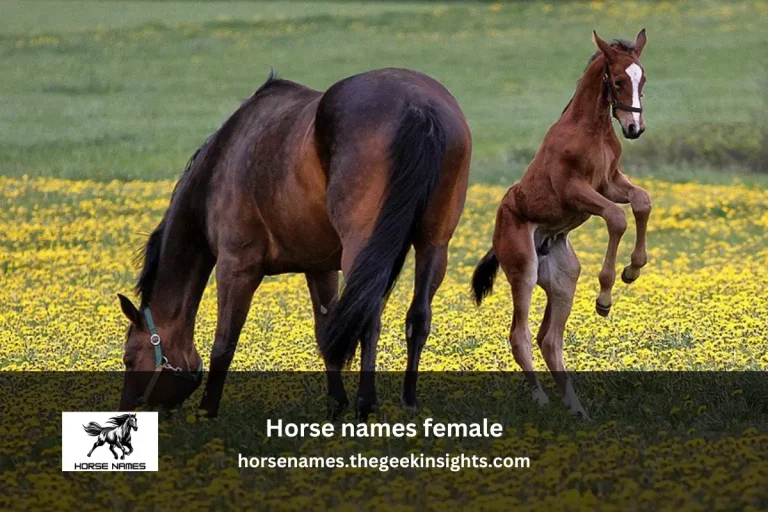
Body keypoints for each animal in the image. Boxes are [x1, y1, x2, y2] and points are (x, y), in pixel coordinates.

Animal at [116, 68, 472, 419]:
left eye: (129, 358)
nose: (126, 410)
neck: (221, 162)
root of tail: (419, 107)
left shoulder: (236, 266)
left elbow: (224, 343)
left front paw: (207, 413)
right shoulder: (320, 269)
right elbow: (325, 332)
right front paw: (335, 406)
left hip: (363, 251)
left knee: (369, 316)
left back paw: (366, 405)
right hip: (433, 245)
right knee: (418, 318)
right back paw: (408, 403)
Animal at [471, 30, 651, 418]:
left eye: (642, 80)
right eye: (617, 80)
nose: (634, 128)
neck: (591, 129)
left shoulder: (609, 183)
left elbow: (642, 201)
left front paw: (632, 270)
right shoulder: (574, 191)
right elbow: (616, 218)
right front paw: (605, 297)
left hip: (563, 278)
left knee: (549, 339)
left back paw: (576, 408)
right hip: (522, 270)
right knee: (519, 335)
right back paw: (540, 399)